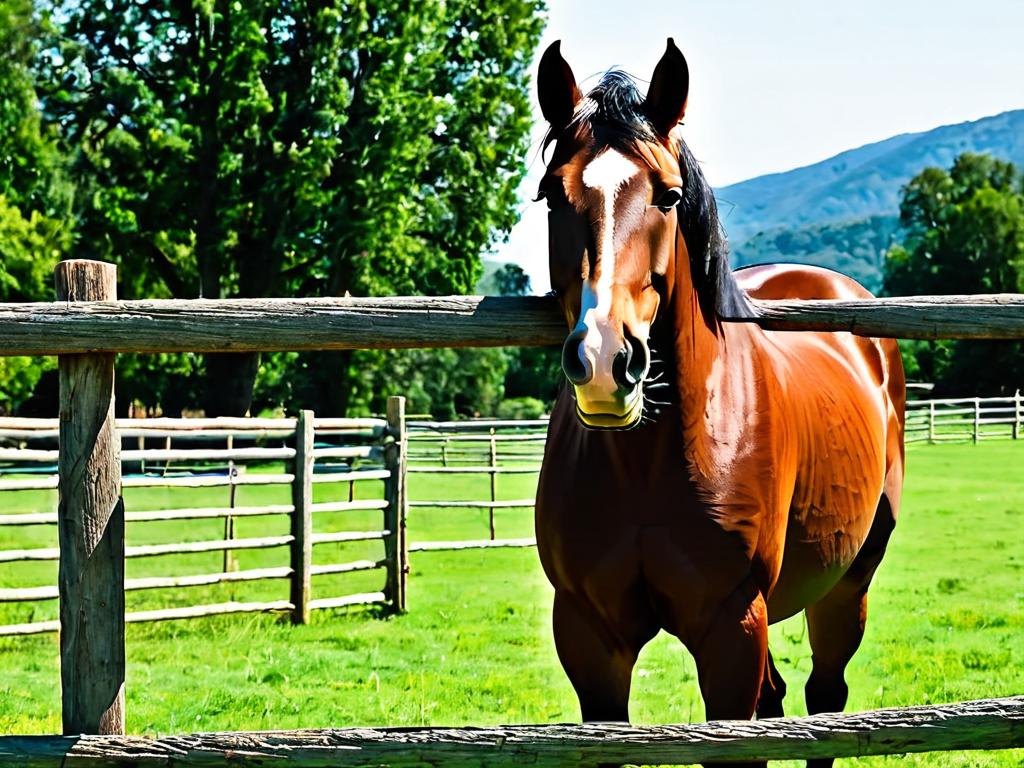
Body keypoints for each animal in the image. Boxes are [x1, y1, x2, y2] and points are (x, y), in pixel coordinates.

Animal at [536, 41, 905, 768]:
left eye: (669, 194)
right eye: (550, 195)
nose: (604, 362)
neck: (651, 465)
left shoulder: (731, 627)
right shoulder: (590, 638)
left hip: (848, 584)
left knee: (826, 702)